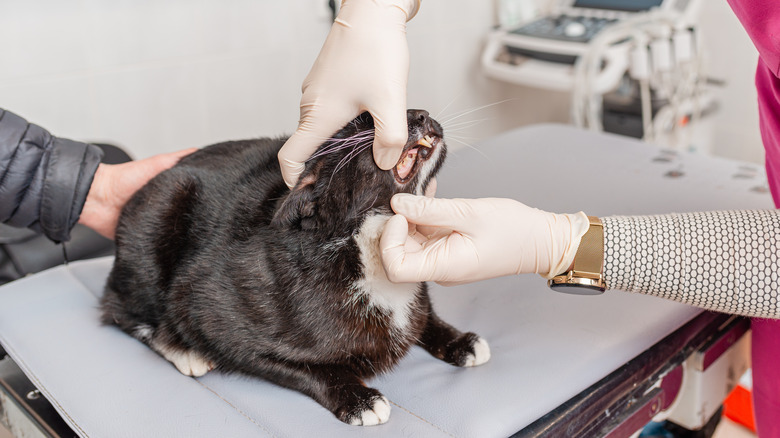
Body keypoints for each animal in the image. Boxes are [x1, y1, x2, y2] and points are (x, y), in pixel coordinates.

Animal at [97, 108, 488, 424]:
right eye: (360, 123)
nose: (421, 113)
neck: (367, 251)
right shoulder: (216, 319)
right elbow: (305, 370)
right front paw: (359, 399)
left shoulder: (415, 293)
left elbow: (424, 316)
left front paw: (460, 341)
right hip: (163, 208)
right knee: (119, 309)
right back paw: (184, 350)